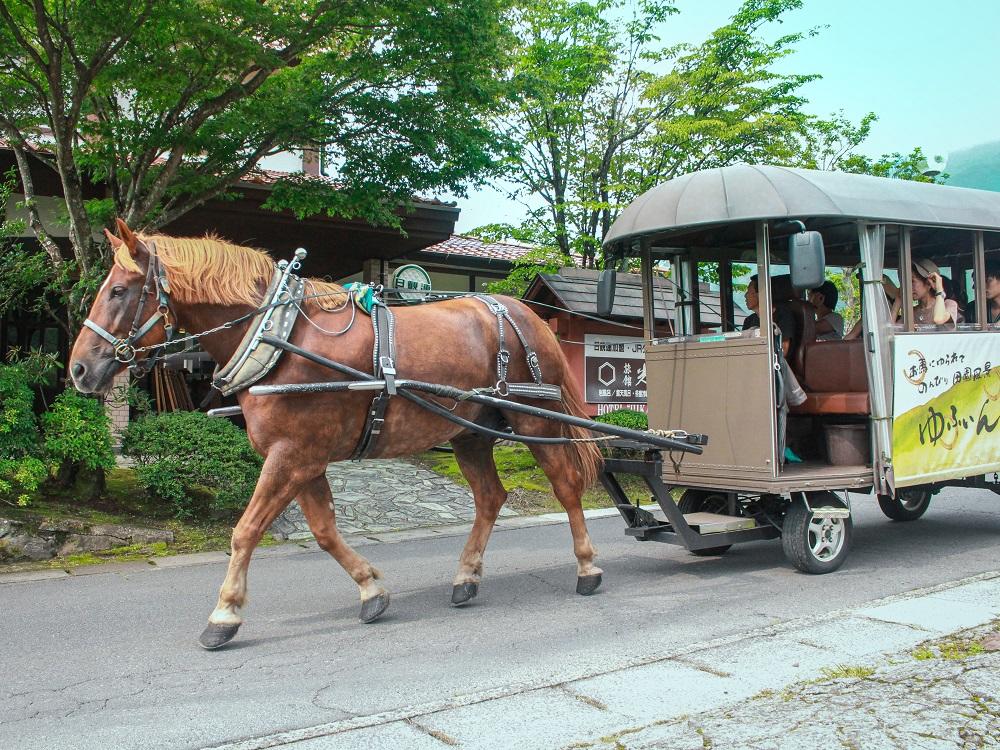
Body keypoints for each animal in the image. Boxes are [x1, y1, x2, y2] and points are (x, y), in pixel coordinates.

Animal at [72, 219, 600, 652]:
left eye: (118, 290)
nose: (79, 369)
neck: (278, 338)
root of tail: (525, 312)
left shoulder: (292, 455)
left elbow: (245, 531)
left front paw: (224, 614)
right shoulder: (304, 457)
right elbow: (324, 531)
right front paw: (371, 589)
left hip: (536, 418)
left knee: (566, 486)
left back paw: (587, 567)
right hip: (470, 431)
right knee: (491, 497)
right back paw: (466, 577)